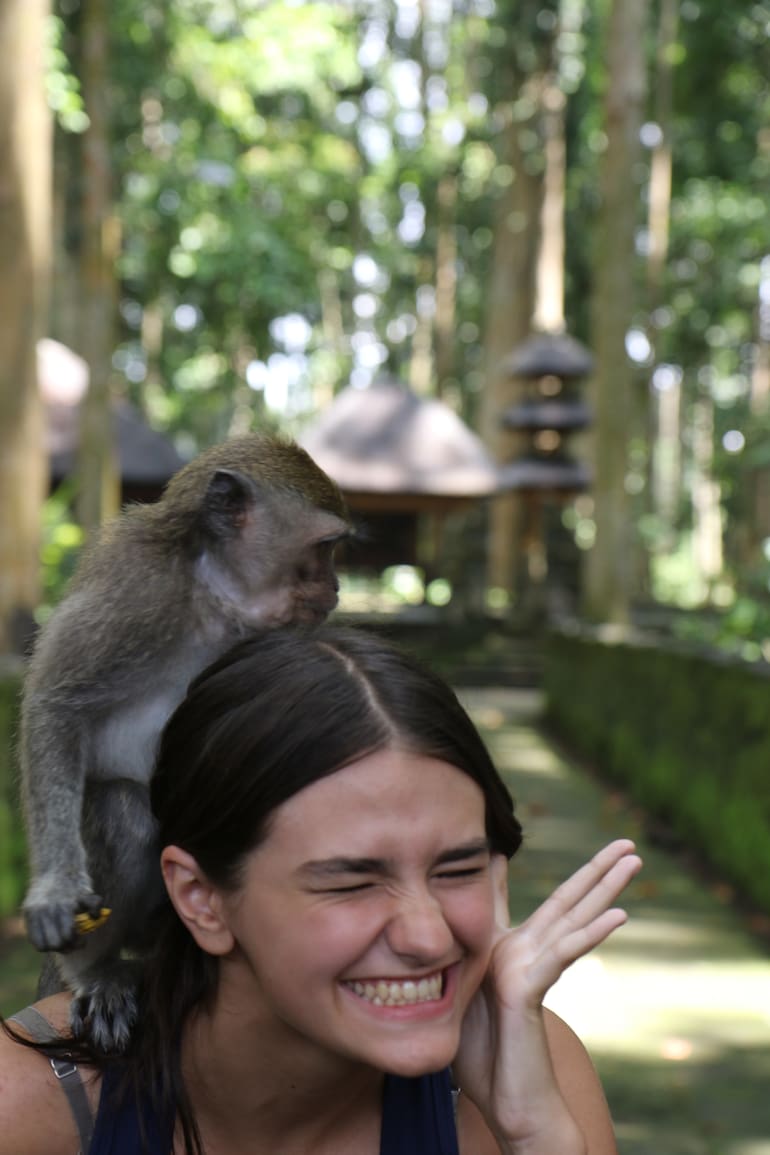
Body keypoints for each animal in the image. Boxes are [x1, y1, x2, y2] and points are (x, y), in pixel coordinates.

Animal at [20, 433, 351, 1052]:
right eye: (323, 549)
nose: (337, 586)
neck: (213, 599)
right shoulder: (136, 592)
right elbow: (54, 705)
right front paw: (55, 888)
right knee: (121, 810)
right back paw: (98, 973)